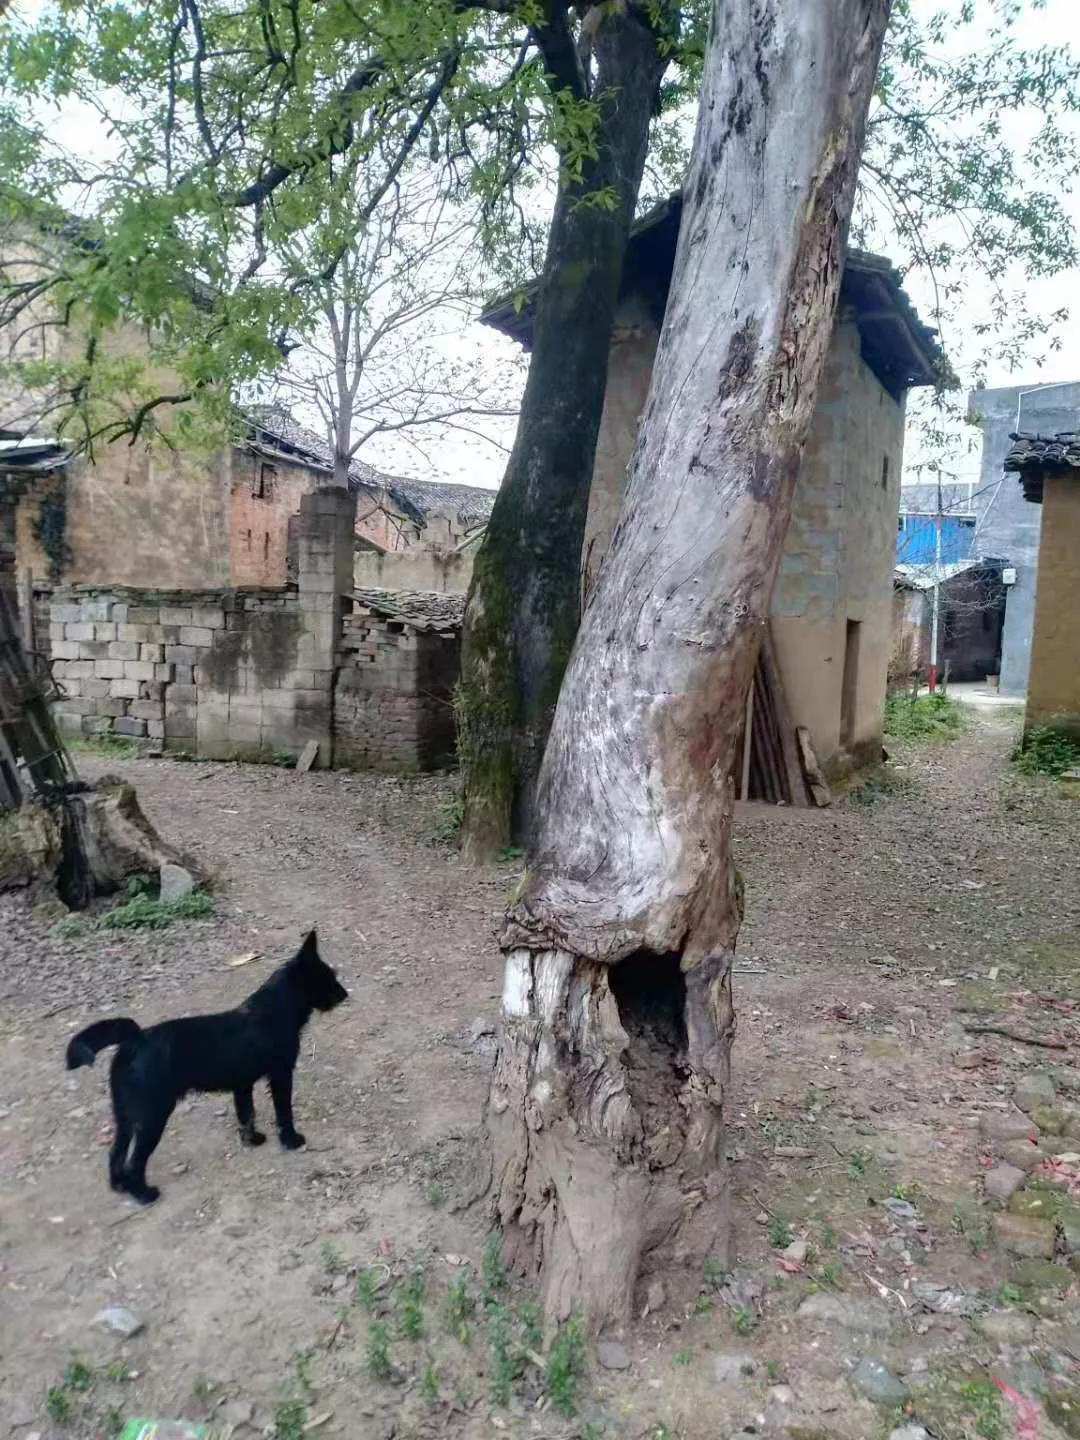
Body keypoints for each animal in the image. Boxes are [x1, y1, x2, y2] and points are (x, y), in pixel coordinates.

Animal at [66, 927, 347, 1198]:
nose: (345, 994)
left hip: (125, 1117)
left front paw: (252, 1140)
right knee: (134, 1162)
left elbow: (247, 1115)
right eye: (328, 977)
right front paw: (290, 1140)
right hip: (151, 1118)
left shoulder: (242, 1085)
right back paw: (143, 1194)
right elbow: (283, 1112)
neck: (275, 1009)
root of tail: (134, 1040)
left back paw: (119, 1186)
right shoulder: (280, 1075)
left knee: (115, 1154)